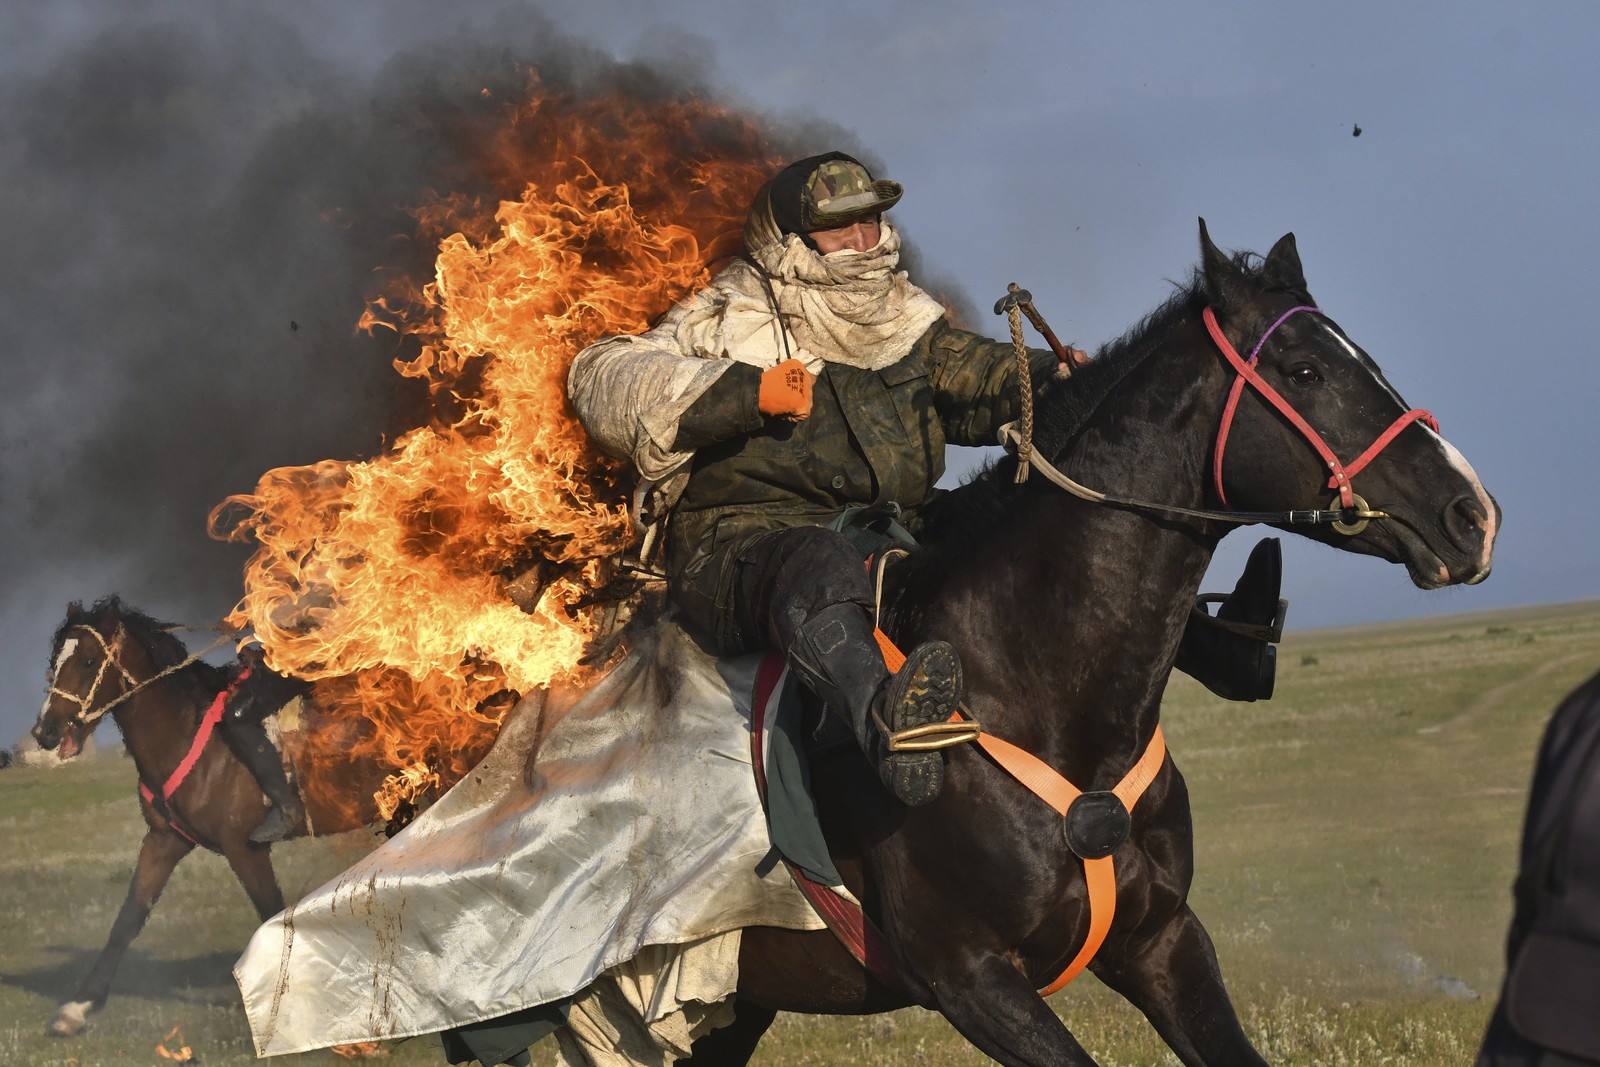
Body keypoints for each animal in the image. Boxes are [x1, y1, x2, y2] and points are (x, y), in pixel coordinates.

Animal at [27, 597, 468, 1038]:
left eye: (88, 661)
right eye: (54, 659)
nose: (45, 731)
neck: (190, 735)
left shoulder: (245, 849)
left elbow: (272, 913)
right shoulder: (164, 840)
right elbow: (128, 919)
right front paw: (78, 1006)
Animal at [676, 221, 1500, 1066]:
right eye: (1305, 371)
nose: (1471, 514)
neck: (1028, 687)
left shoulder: (1161, 939)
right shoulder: (970, 979)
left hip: (732, 1012)